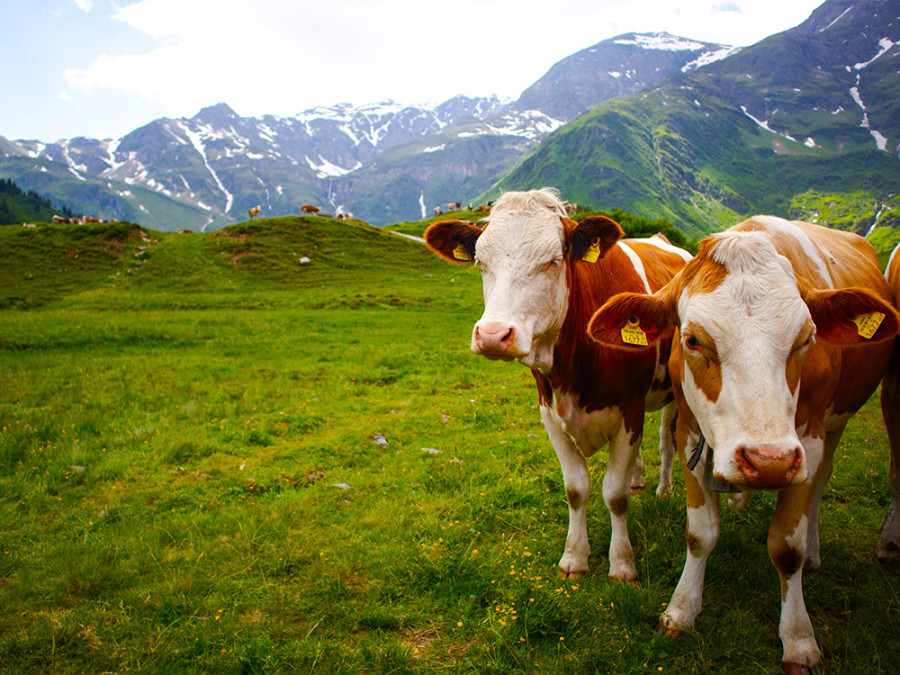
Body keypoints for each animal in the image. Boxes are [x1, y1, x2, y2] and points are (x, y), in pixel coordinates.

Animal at [422, 187, 688, 580]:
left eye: (552, 261)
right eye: (481, 262)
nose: (492, 335)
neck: (574, 372)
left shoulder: (630, 407)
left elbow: (615, 494)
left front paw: (622, 563)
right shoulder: (549, 411)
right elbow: (576, 488)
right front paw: (575, 558)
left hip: (673, 395)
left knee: (667, 443)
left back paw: (664, 489)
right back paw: (638, 477)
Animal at [592, 215, 900, 672]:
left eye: (806, 338)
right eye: (693, 340)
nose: (767, 461)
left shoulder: (806, 443)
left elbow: (786, 548)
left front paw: (799, 640)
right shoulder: (690, 433)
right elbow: (700, 533)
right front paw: (681, 611)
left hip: (839, 423)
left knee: (821, 487)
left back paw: (821, 552)